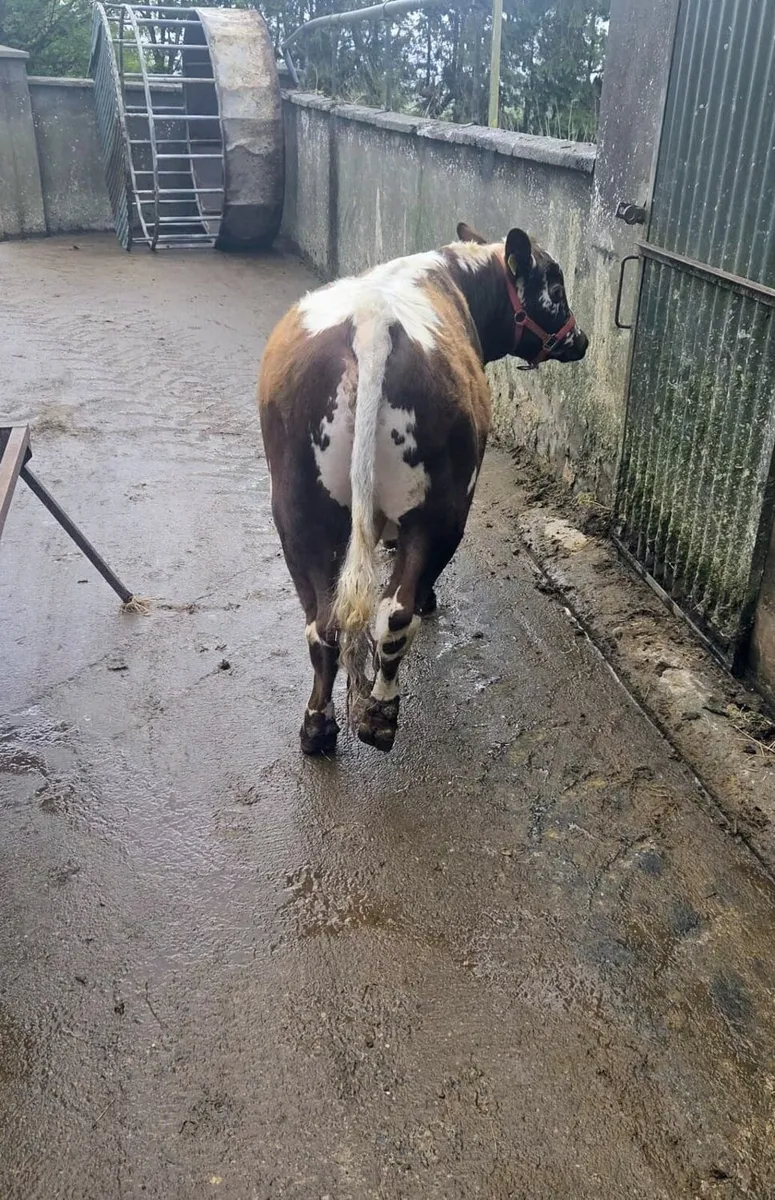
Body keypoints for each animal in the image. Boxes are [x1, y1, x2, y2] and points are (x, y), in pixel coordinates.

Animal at [258, 222, 588, 755]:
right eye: (555, 287)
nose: (581, 340)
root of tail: (371, 323)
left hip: (297, 510)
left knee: (324, 625)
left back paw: (317, 728)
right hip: (442, 508)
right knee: (395, 613)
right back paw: (380, 716)